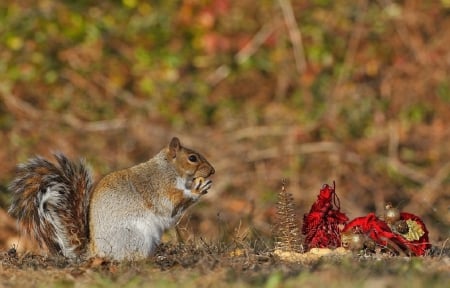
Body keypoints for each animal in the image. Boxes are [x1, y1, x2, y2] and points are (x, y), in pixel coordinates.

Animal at [7, 137, 215, 260]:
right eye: (192, 158)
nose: (212, 171)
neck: (168, 169)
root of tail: (95, 251)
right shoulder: (160, 188)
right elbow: (171, 204)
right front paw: (197, 189)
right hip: (134, 236)